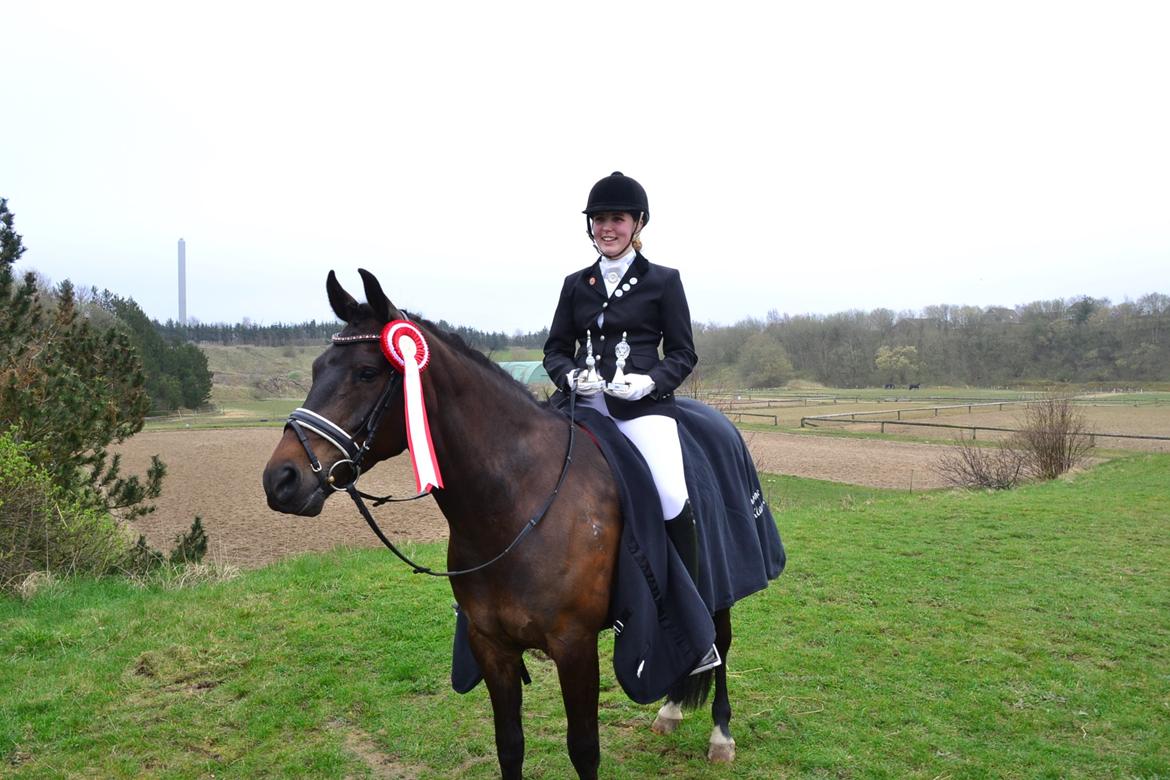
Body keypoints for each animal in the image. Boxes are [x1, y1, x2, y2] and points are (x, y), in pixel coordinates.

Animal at [263, 269, 744, 778]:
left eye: (367, 372)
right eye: (317, 368)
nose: (281, 480)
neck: (516, 503)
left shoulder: (574, 645)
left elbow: (584, 749)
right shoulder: (491, 644)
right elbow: (509, 744)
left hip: (719, 585)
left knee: (719, 640)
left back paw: (721, 735)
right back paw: (670, 711)